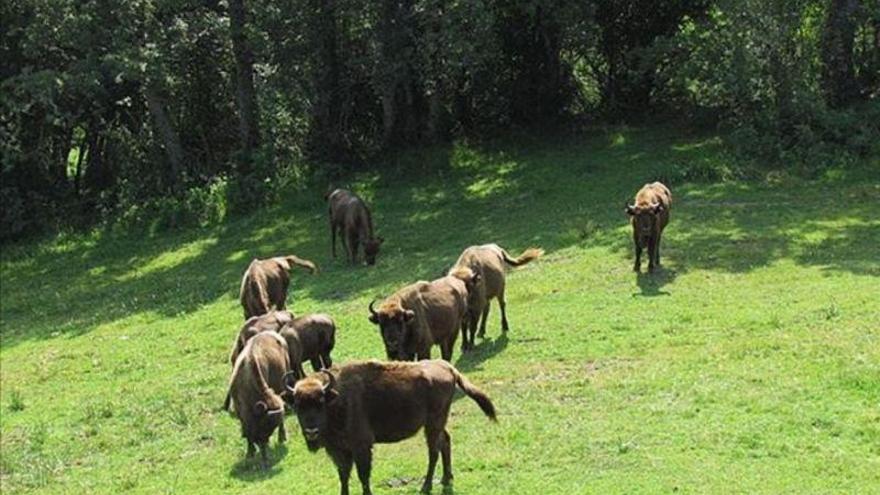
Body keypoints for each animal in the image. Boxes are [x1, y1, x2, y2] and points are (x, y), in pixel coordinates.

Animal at [225, 334, 290, 468]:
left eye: (269, 427)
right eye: (263, 424)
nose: (261, 441)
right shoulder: (240, 411)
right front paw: (250, 453)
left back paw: (282, 437)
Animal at [288, 360, 496, 495]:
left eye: (320, 402)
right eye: (298, 405)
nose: (311, 431)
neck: (336, 398)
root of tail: (449, 367)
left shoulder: (361, 447)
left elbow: (363, 476)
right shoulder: (338, 451)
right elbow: (344, 476)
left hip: (432, 424)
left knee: (434, 451)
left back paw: (426, 486)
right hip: (436, 423)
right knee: (445, 442)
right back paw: (446, 479)